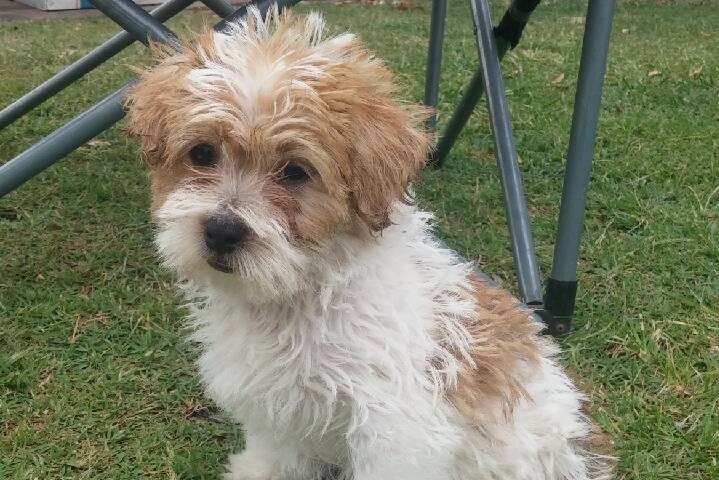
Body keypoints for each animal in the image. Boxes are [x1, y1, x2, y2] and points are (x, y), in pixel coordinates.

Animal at [126, 7, 612, 480]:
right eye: (202, 154)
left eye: (295, 172)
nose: (222, 231)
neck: (299, 296)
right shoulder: (273, 402)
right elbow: (275, 453)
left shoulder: (394, 426)